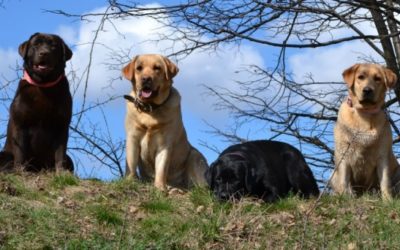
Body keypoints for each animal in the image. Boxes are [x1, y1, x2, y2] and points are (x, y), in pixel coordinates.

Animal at [0, 32, 73, 172]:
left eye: (53, 46)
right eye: (36, 45)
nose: (44, 53)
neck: (43, 85)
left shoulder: (62, 125)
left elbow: (60, 153)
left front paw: (61, 172)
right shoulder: (21, 124)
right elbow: (20, 153)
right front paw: (20, 171)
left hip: (70, 159)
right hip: (4, 154)